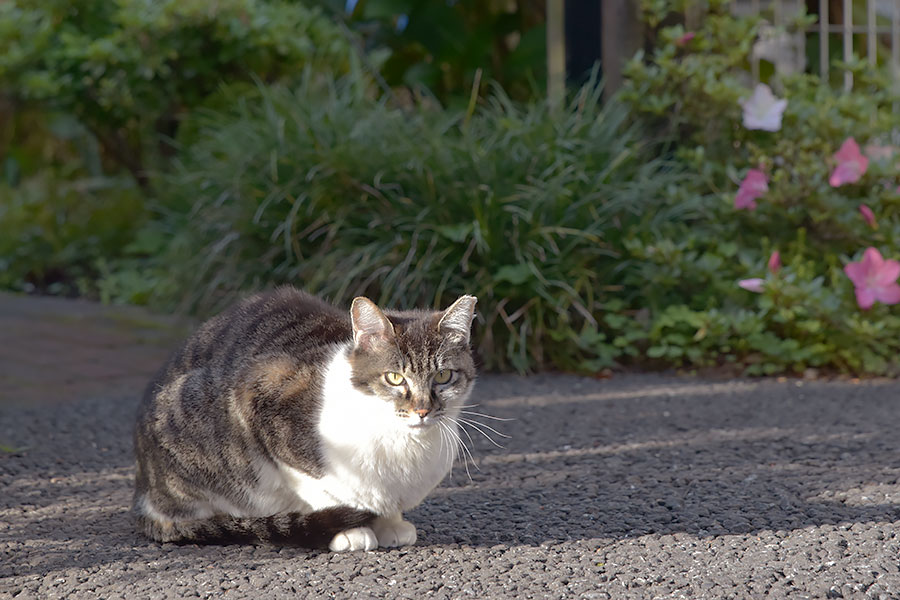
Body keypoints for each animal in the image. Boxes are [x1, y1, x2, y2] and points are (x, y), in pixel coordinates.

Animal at [133, 288, 478, 552]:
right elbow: (317, 487)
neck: (402, 441)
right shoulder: (260, 396)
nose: (422, 410)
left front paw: (390, 523)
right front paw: (348, 529)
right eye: (394, 378)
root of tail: (143, 486)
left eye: (443, 376)